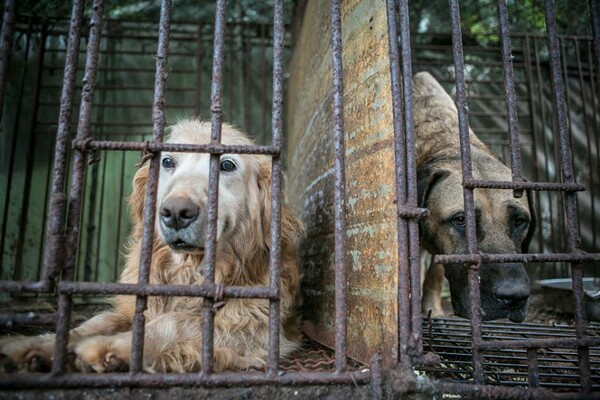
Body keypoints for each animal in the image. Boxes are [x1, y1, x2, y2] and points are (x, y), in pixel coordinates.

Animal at [1, 120, 304, 374]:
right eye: (168, 161)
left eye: (227, 165)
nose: (176, 212)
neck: (189, 271)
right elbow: (97, 321)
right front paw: (39, 344)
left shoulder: (254, 327)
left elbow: (174, 322)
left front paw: (111, 347)